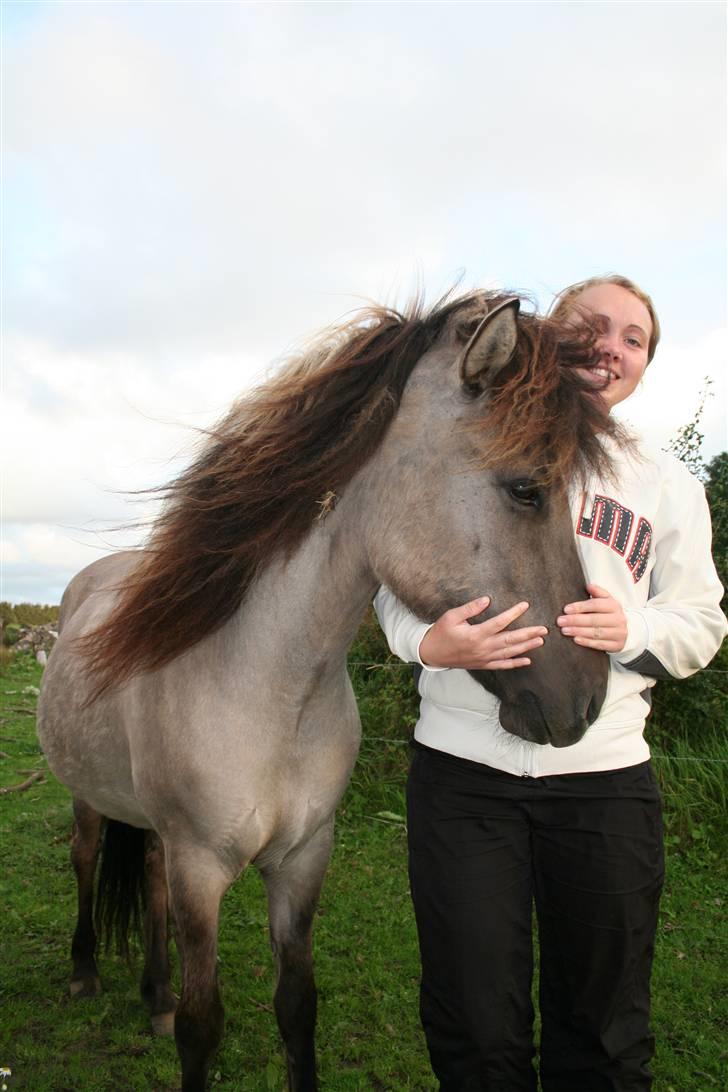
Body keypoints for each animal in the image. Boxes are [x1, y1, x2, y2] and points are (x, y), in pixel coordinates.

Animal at [34, 292, 615, 1092]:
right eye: (526, 488)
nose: (585, 702)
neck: (274, 689)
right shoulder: (201, 869)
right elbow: (202, 1026)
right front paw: (172, 1013)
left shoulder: (305, 857)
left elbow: (297, 1005)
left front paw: (183, 1005)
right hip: (92, 799)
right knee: (87, 858)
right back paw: (85, 972)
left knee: (145, 874)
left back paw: (153, 994)